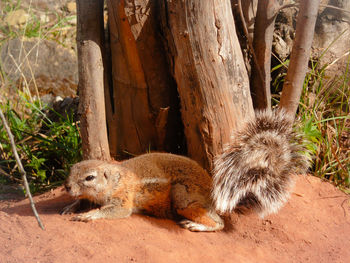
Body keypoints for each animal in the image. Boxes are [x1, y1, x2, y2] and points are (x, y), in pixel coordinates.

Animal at [61, 110, 310, 232]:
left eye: (89, 177)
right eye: (72, 169)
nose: (66, 186)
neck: (114, 178)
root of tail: (213, 188)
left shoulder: (123, 199)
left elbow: (114, 211)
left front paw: (88, 215)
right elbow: (83, 201)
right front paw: (70, 206)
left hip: (184, 198)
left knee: (219, 224)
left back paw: (196, 225)